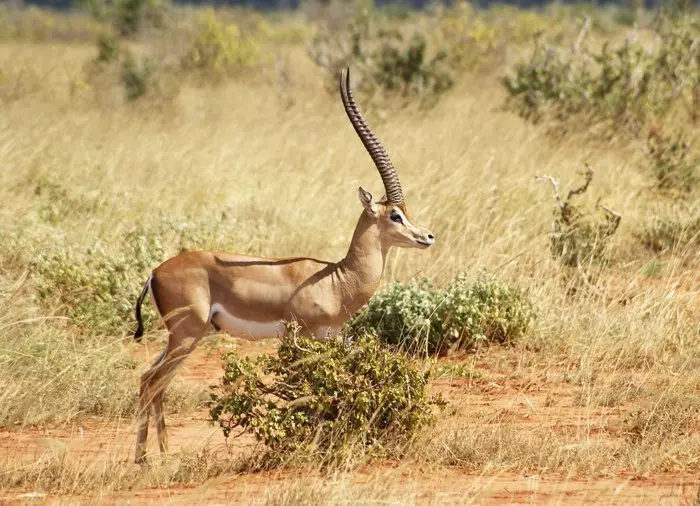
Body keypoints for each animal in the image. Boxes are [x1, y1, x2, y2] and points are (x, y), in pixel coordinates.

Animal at [132, 68, 436, 464]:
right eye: (395, 215)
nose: (427, 236)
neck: (336, 279)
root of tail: (155, 272)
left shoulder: (332, 336)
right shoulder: (303, 338)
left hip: (182, 338)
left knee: (149, 380)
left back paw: (158, 457)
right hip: (187, 335)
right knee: (152, 382)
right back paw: (147, 460)